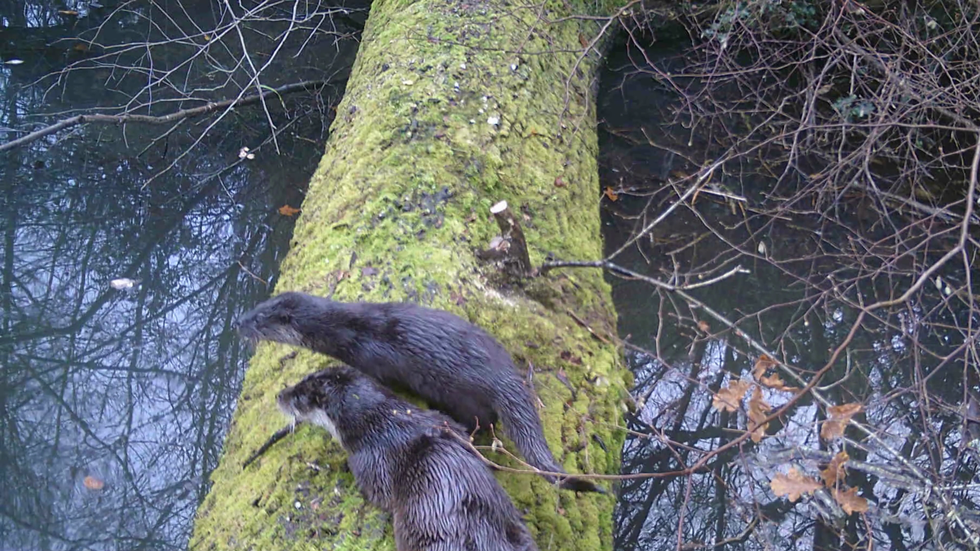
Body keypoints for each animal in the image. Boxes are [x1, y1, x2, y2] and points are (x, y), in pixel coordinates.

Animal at [237, 292, 604, 494]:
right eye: (257, 306)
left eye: (259, 319)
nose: (240, 321)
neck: (347, 332)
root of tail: (504, 377)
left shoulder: (372, 362)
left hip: (464, 397)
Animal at [278, 366, 536, 551]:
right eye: (302, 379)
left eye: (298, 398)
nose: (279, 395)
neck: (381, 425)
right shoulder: (443, 421)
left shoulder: (369, 463)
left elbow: (378, 495)